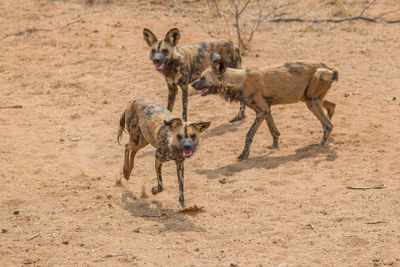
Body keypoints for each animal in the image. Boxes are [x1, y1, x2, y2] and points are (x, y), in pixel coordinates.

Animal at [191, 52, 338, 161]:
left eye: (202, 79)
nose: (191, 84)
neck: (239, 82)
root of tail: (330, 67)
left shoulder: (261, 111)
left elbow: (249, 134)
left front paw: (243, 155)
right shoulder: (267, 110)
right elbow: (274, 131)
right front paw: (274, 146)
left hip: (311, 102)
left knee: (328, 124)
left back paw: (319, 145)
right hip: (309, 99)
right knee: (331, 106)